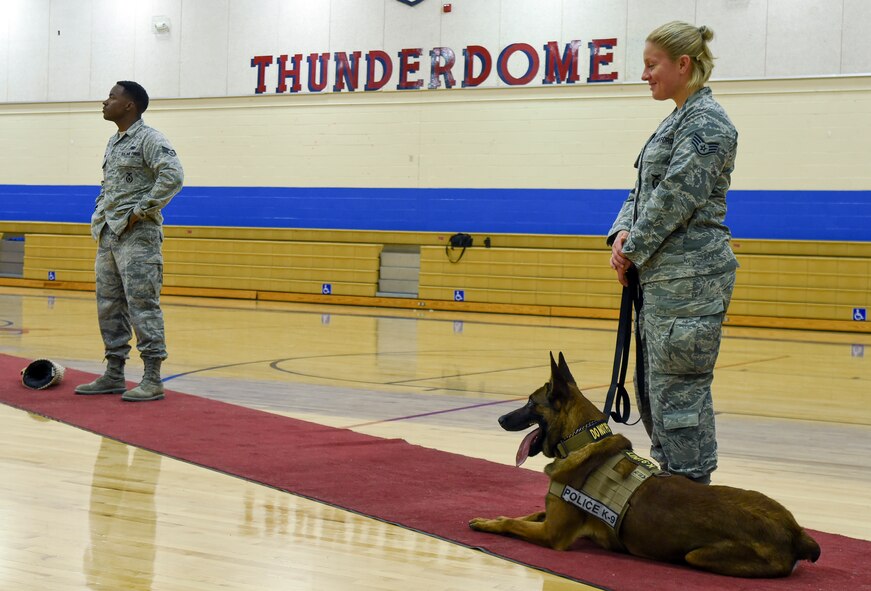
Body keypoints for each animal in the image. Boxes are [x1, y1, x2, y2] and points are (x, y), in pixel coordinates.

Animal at [466, 352, 820, 580]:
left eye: (530, 403)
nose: (500, 418)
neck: (583, 440)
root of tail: (796, 533)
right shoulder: (549, 515)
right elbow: (525, 513)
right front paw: (492, 516)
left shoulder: (552, 534)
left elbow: (512, 523)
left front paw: (487, 524)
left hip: (698, 555)